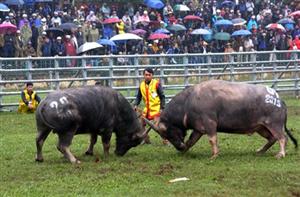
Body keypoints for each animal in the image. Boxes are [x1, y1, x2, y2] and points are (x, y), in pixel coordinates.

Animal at [146, 80, 298, 159]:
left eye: (169, 132)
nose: (179, 147)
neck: (189, 102)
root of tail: (279, 100)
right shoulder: (198, 129)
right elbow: (191, 141)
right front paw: (185, 150)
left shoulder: (210, 124)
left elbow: (212, 139)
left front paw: (214, 155)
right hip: (261, 127)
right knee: (272, 138)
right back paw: (260, 151)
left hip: (274, 124)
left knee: (282, 138)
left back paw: (281, 154)